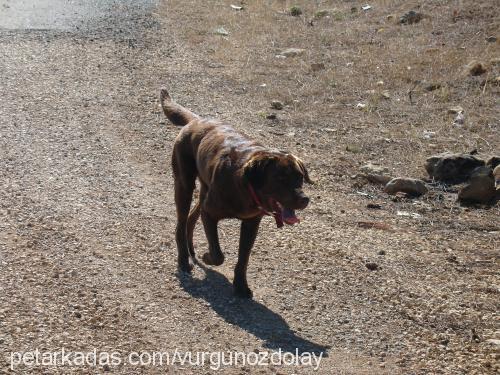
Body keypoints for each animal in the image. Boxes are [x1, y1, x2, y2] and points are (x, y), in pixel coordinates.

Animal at [160, 89, 310, 300]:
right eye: (280, 178)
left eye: (300, 177)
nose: (304, 199)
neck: (245, 186)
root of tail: (196, 120)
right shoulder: (210, 213)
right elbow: (218, 254)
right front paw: (208, 256)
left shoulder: (251, 224)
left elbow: (243, 259)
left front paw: (240, 286)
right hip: (184, 184)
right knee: (181, 223)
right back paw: (183, 260)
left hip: (204, 189)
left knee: (191, 217)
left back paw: (191, 250)